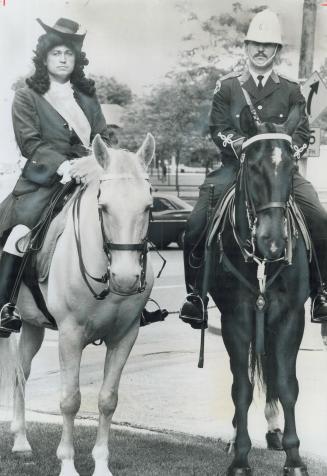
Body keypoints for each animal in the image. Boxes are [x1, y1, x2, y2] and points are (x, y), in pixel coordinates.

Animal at [0, 133, 156, 476]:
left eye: (148, 207)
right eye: (103, 207)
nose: (126, 278)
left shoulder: (125, 336)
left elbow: (108, 400)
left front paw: (101, 465)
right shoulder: (70, 335)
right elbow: (70, 400)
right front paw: (68, 465)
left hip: (31, 326)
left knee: (20, 374)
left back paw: (21, 441)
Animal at [209, 105, 312, 476]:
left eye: (292, 168)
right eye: (252, 166)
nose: (274, 243)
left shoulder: (290, 318)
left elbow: (286, 385)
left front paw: (294, 458)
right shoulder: (235, 320)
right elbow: (241, 388)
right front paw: (240, 457)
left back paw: (274, 429)